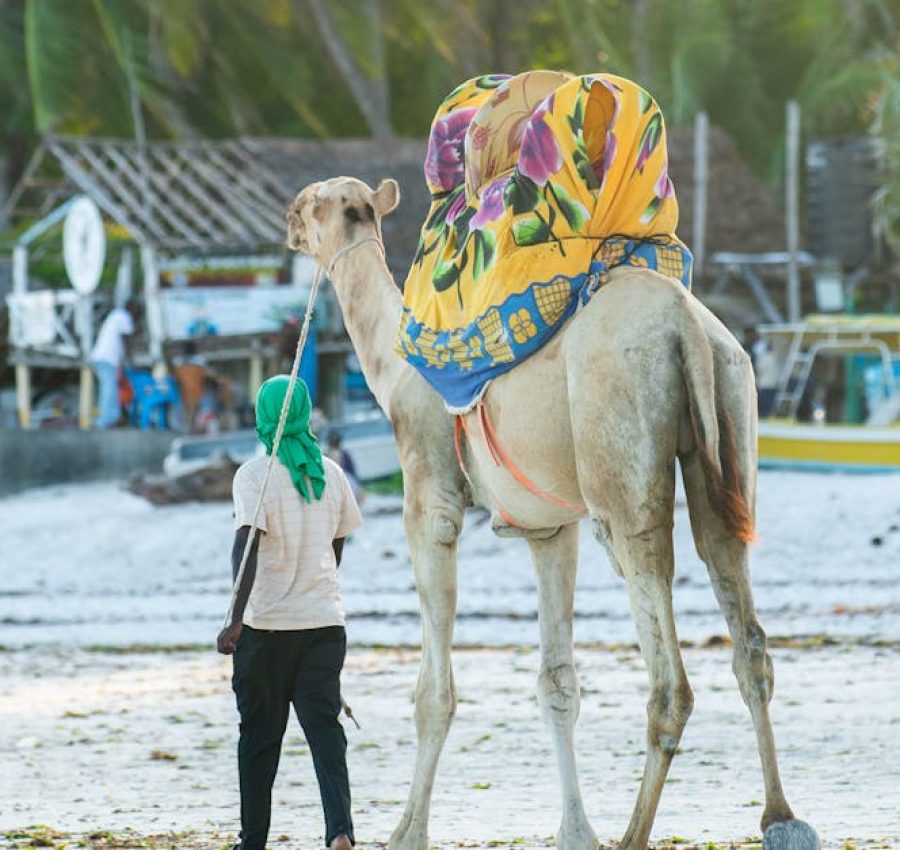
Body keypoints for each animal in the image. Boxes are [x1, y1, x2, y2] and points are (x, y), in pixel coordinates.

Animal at [286, 176, 819, 850]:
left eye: (310, 203)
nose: (286, 220)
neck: (391, 367)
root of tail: (685, 326)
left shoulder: (429, 501)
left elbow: (434, 693)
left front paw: (407, 831)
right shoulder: (548, 528)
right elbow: (558, 682)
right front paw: (575, 829)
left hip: (621, 458)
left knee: (668, 669)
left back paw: (634, 834)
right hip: (730, 407)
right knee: (742, 619)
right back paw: (780, 815)